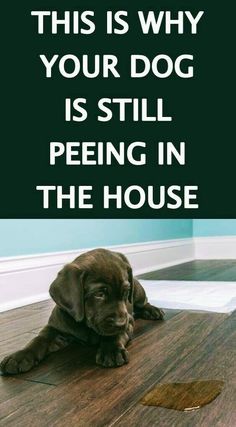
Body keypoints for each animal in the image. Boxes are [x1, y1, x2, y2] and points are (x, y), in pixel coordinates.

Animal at [0, 247, 164, 374]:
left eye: (125, 293)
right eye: (99, 294)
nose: (120, 323)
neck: (87, 326)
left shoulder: (128, 322)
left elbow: (113, 334)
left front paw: (111, 351)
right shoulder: (55, 328)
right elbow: (38, 339)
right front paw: (19, 356)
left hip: (138, 290)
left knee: (143, 303)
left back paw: (153, 310)